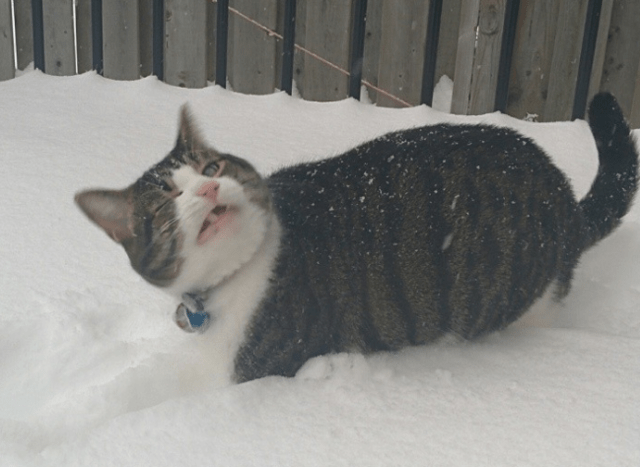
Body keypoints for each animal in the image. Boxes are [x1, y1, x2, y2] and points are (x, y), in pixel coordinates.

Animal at [74, 92, 636, 384]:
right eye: (166, 202)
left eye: (211, 168)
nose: (210, 187)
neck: (235, 276)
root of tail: (563, 194)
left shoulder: (265, 365)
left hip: (529, 297)